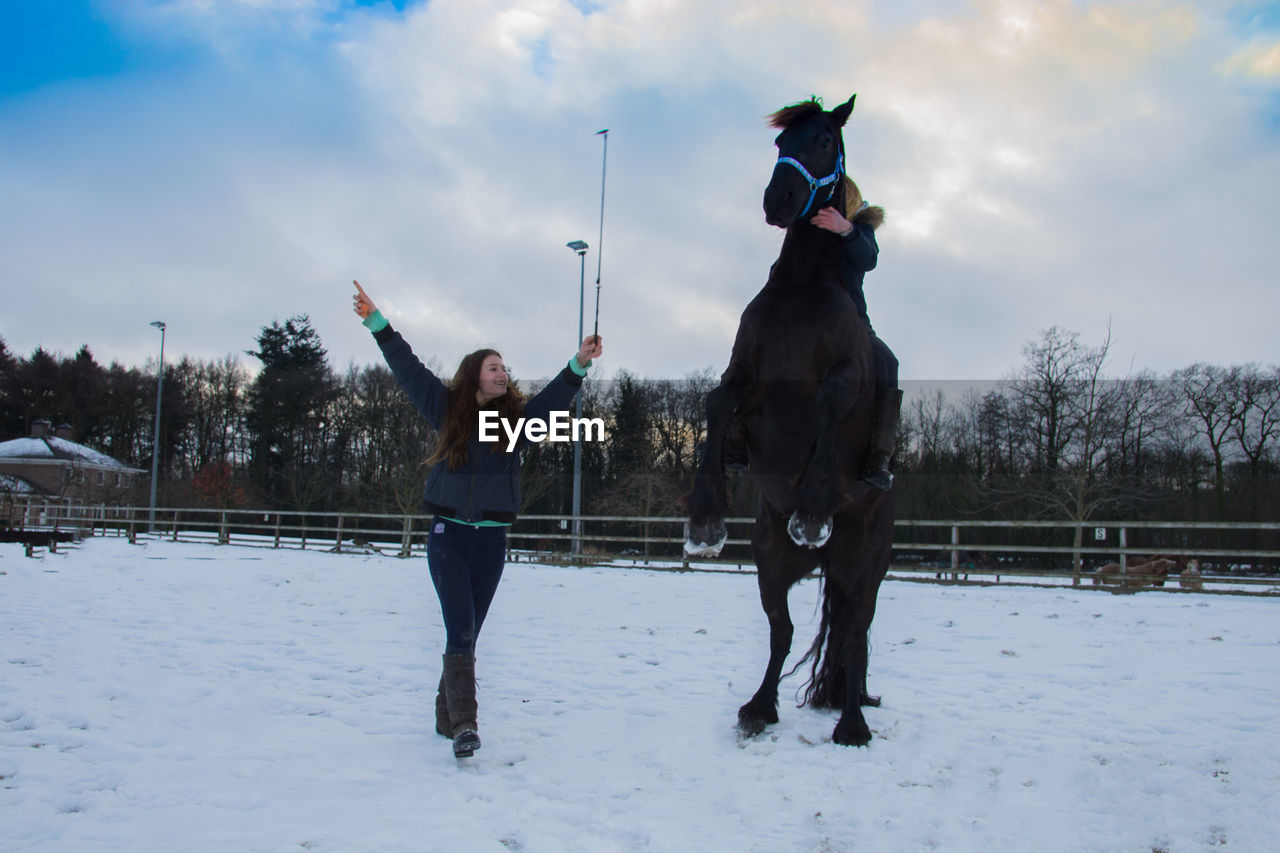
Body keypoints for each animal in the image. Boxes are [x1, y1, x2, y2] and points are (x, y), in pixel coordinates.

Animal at [686, 94, 896, 742]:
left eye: (825, 139)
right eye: (781, 143)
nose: (777, 199)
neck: (804, 286)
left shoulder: (842, 379)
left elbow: (829, 402)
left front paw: (812, 507)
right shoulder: (744, 376)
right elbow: (716, 401)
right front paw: (705, 519)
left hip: (862, 566)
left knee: (854, 635)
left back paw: (852, 724)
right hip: (771, 562)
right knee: (784, 632)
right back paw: (760, 707)